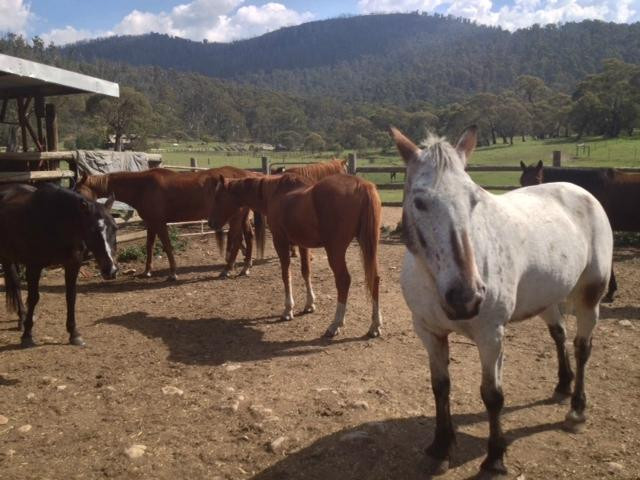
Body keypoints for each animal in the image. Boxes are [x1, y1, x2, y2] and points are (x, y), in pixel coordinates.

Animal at [0, 183, 118, 347]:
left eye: (115, 228)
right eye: (93, 230)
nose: (111, 270)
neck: (56, 223)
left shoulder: (72, 265)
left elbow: (71, 297)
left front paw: (74, 334)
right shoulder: (34, 267)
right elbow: (33, 297)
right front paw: (27, 335)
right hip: (6, 256)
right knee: (16, 283)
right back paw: (23, 319)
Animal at [75, 167, 265, 280]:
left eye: (78, 190)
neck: (142, 186)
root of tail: (244, 175)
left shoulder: (159, 223)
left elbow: (166, 246)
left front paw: (173, 273)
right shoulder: (151, 223)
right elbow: (150, 246)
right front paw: (147, 271)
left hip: (235, 218)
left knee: (237, 239)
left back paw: (227, 269)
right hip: (241, 218)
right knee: (247, 238)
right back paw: (245, 267)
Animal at [208, 172, 383, 338]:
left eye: (218, 196)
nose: (210, 223)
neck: (274, 193)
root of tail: (362, 185)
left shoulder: (280, 241)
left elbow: (286, 274)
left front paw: (288, 310)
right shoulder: (302, 245)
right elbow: (306, 272)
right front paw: (309, 304)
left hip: (335, 250)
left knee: (343, 280)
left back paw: (335, 324)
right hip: (368, 245)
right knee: (374, 278)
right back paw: (375, 325)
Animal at [392, 126, 612, 478]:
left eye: (474, 199)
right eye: (420, 202)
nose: (466, 298)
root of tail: (581, 191)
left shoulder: (491, 335)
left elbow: (492, 395)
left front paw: (495, 458)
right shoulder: (429, 332)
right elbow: (440, 386)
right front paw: (440, 447)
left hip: (590, 296)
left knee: (582, 347)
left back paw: (577, 411)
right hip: (547, 298)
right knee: (559, 335)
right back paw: (563, 385)